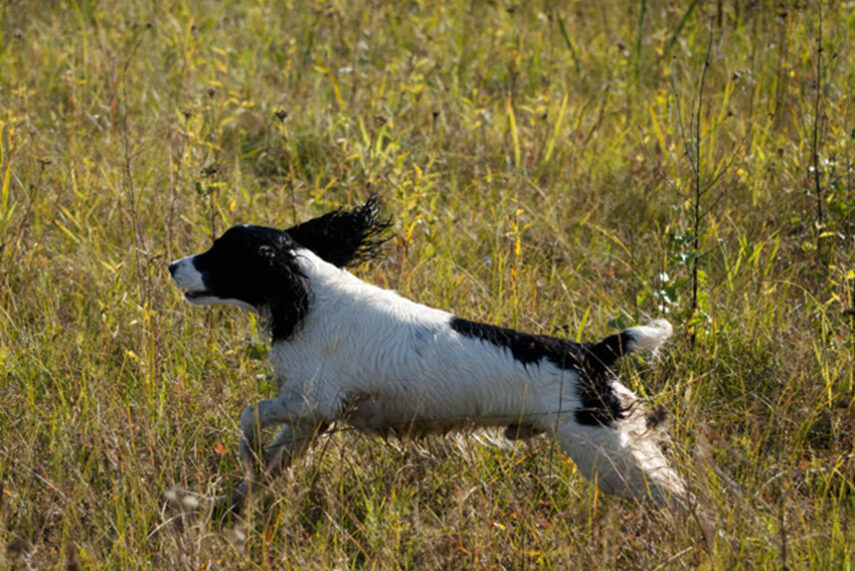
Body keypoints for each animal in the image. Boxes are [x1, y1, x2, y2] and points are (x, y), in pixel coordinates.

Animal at [167, 198, 688, 512]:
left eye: (219, 254)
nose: (172, 265)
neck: (309, 299)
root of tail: (591, 353)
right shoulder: (309, 420)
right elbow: (268, 463)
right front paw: (229, 502)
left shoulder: (311, 403)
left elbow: (248, 415)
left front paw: (245, 457)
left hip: (607, 454)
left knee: (680, 499)